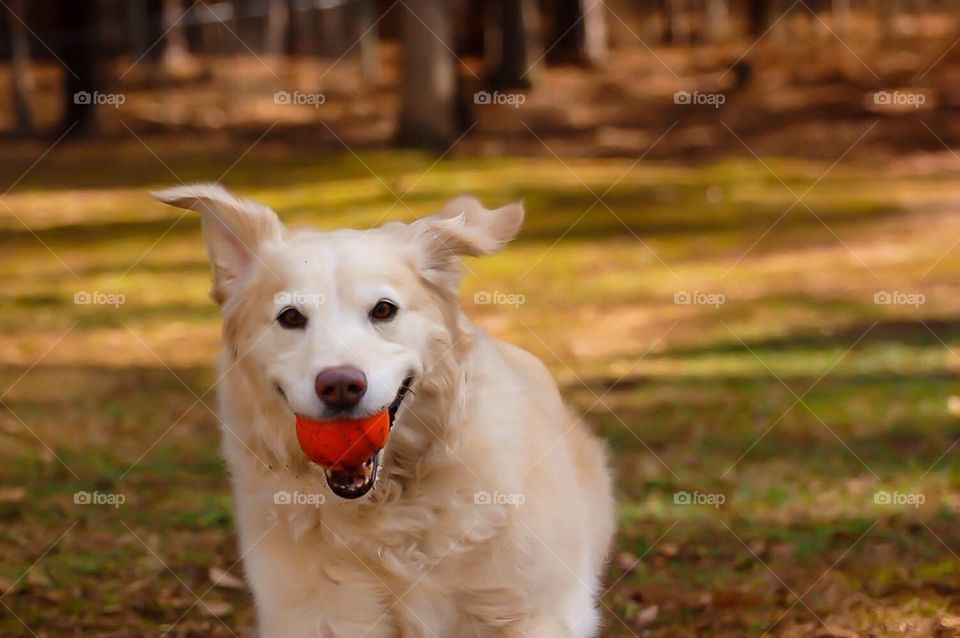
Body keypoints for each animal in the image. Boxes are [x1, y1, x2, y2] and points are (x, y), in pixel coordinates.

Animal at [152, 185, 616, 638]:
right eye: (290, 317)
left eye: (383, 310)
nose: (340, 386)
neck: (389, 506)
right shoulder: (321, 617)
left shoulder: (533, 612)